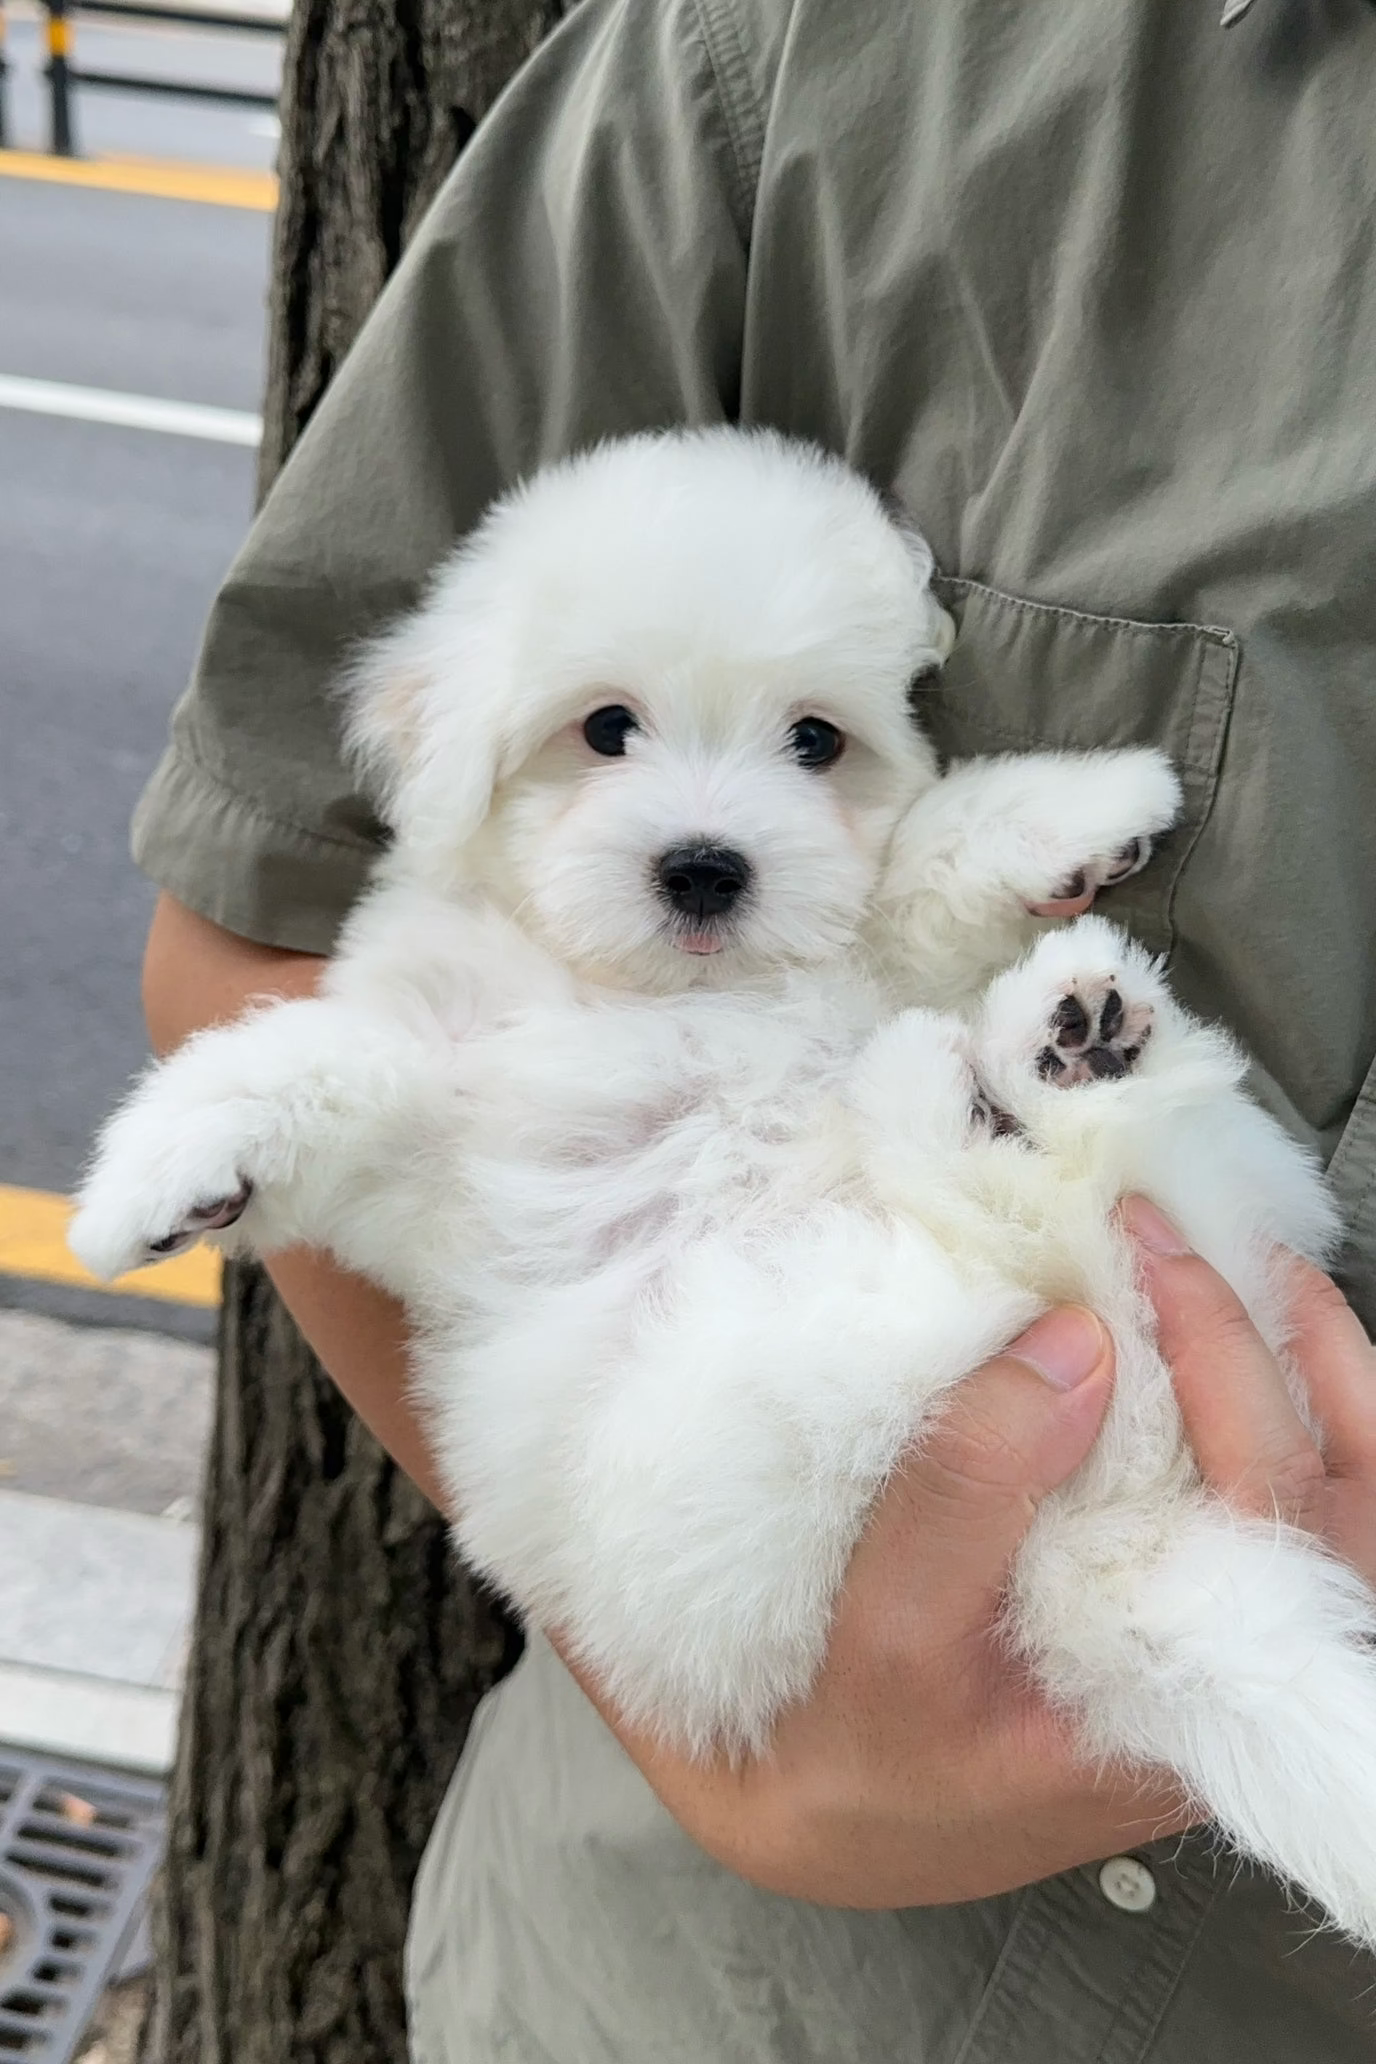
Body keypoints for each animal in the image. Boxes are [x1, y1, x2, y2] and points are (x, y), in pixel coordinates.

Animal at [72, 431, 1376, 1948]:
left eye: (813, 739)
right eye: (603, 729)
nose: (705, 867)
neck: (659, 990)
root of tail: (1114, 1548)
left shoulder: (862, 958)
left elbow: (910, 873)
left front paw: (1077, 805)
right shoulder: (442, 1120)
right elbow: (315, 1065)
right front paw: (164, 1174)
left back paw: (1045, 1058)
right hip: (776, 1417)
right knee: (1050, 1250)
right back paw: (1017, 1074)